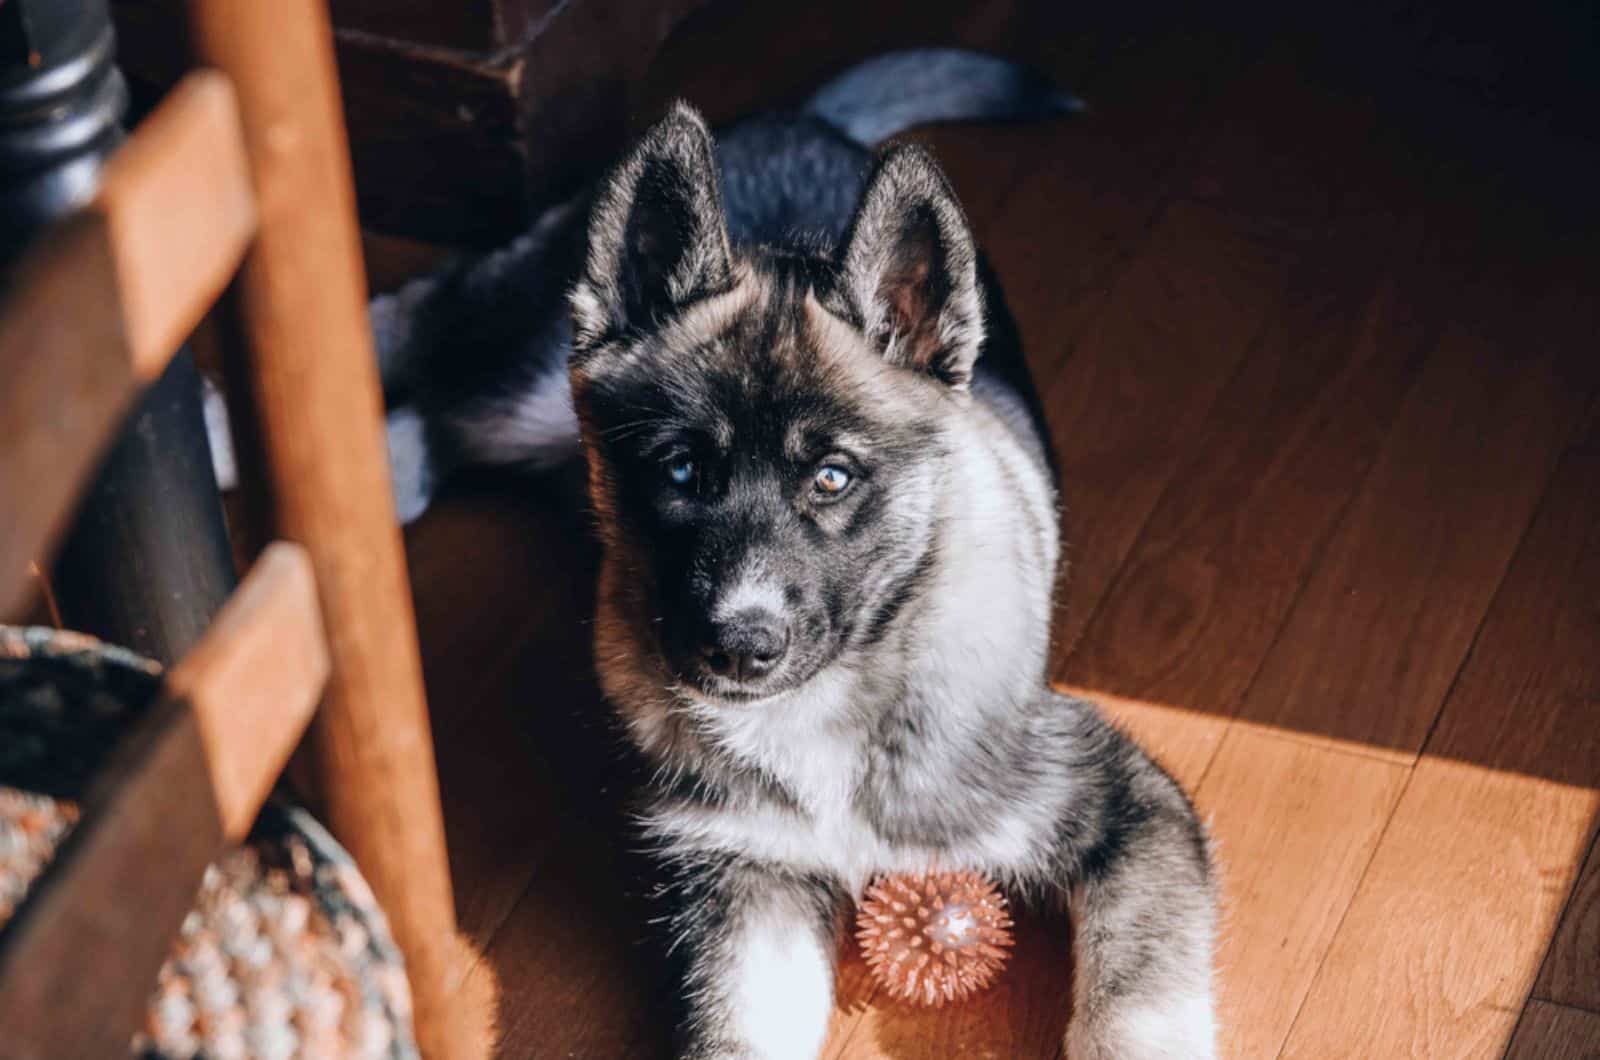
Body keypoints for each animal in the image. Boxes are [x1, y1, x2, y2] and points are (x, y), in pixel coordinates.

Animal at [368, 52, 1209, 1060]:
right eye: (680, 470)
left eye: (834, 479)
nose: (740, 647)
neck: (834, 706)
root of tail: (809, 124)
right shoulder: (744, 879)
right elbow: (736, 1034)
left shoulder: (1125, 804)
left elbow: (1135, 1004)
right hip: (530, 377)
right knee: (428, 318)